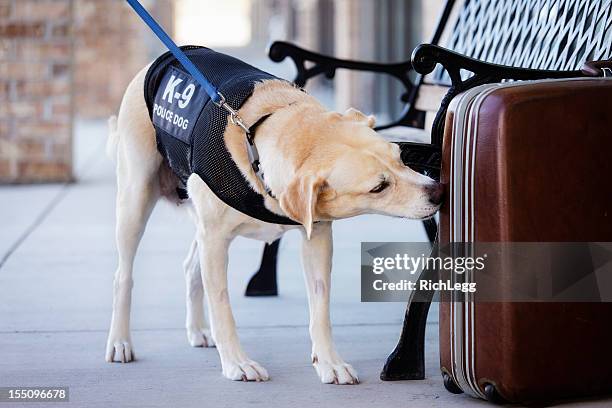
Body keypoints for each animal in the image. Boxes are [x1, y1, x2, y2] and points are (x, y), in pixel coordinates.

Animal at [104, 63, 440, 382]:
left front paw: (329, 363)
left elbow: (321, 309)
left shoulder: (317, 237)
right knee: (122, 275)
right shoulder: (215, 241)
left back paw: (197, 330)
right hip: (136, 200)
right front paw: (237, 363)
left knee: (190, 268)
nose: (439, 191)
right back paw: (120, 341)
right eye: (378, 187)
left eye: (401, 158)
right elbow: (222, 306)